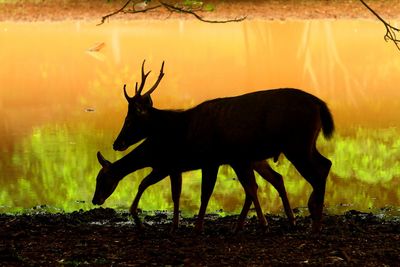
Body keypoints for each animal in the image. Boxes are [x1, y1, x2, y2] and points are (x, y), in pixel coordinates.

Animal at [92, 61, 332, 234]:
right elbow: (181, 194)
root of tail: (320, 104)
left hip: (296, 145)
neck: (182, 130)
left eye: (130, 120)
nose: (117, 143)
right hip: (298, 146)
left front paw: (196, 227)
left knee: (315, 172)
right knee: (320, 165)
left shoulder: (206, 159)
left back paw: (314, 222)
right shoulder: (190, 164)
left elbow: (204, 192)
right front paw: (179, 226)